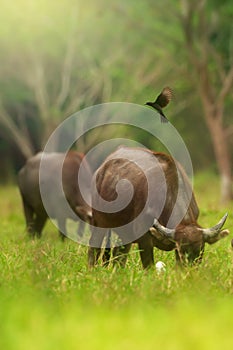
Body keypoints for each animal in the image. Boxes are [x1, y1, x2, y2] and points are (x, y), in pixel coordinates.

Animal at [88, 146, 229, 268]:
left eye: (200, 250)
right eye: (182, 250)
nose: (191, 270)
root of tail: (101, 170)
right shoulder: (145, 240)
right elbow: (148, 266)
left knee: (118, 256)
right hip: (99, 223)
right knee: (94, 248)